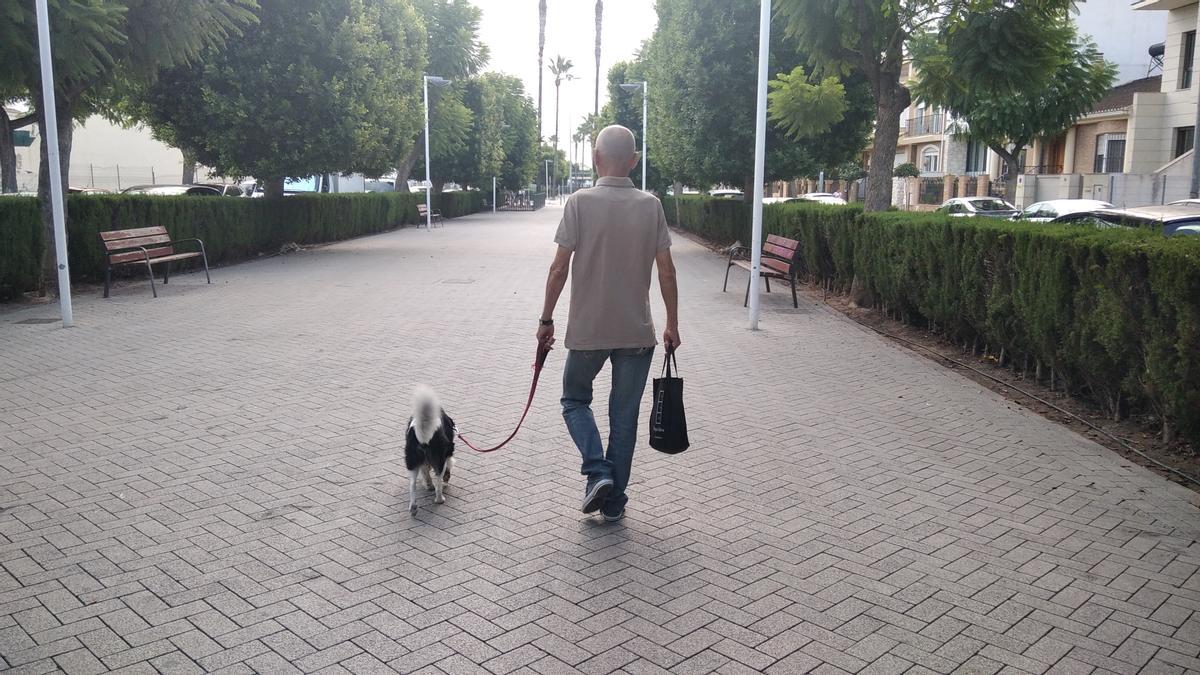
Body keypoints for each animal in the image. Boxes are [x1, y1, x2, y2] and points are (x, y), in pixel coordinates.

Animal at [405, 384, 456, 514]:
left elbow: (425, 471)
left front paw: (428, 485)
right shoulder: (447, 452)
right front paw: (445, 480)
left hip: (412, 459)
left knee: (412, 484)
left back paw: (413, 507)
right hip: (439, 458)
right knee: (438, 478)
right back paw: (440, 499)